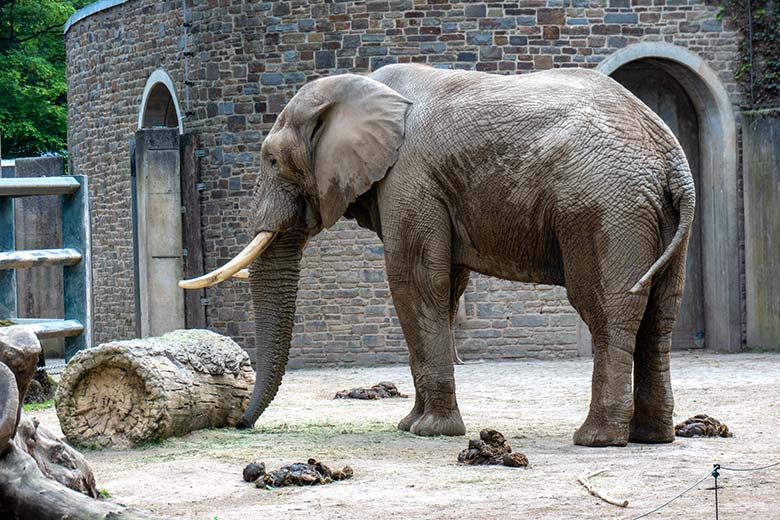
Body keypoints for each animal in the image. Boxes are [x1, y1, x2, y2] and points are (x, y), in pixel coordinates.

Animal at [181, 64, 696, 446]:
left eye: (271, 160)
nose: (237, 424)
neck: (362, 86)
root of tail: (671, 158)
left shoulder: (410, 177)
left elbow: (412, 280)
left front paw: (431, 432)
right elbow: (444, 288)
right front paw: (411, 425)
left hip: (603, 207)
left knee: (607, 310)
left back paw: (594, 438)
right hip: (654, 214)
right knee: (661, 316)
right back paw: (652, 437)